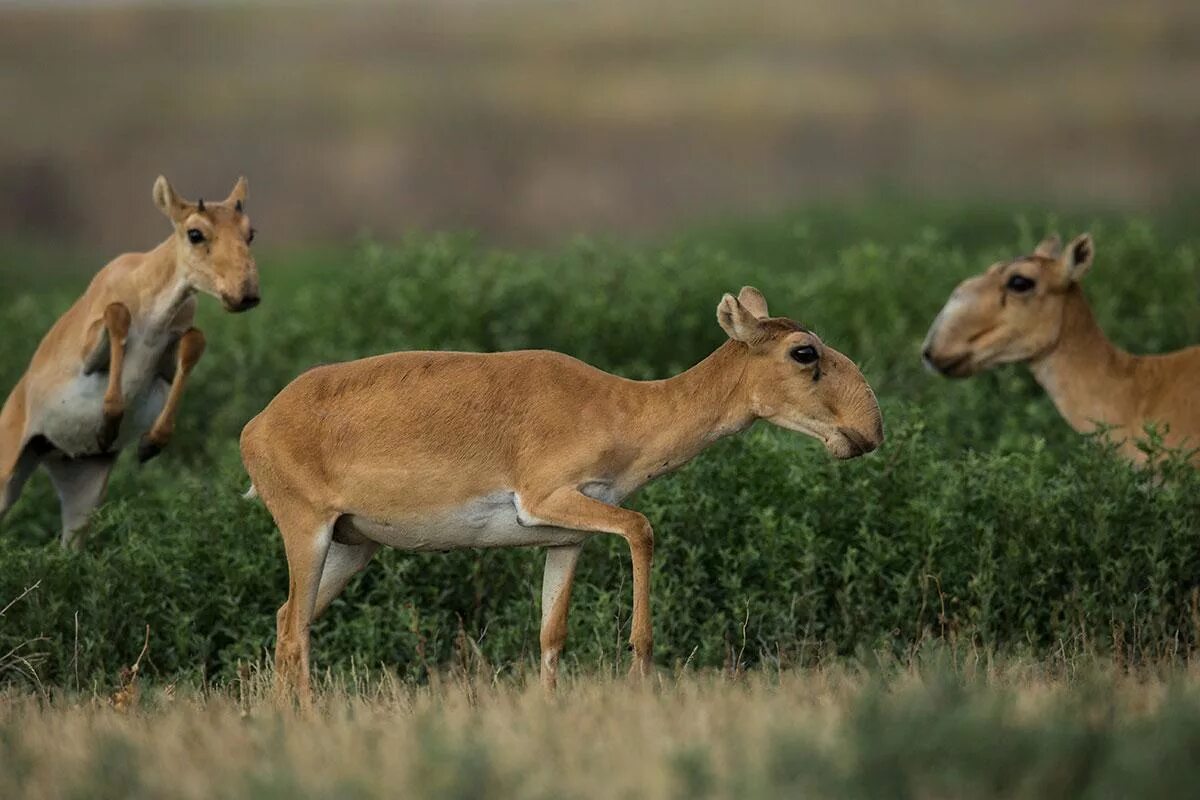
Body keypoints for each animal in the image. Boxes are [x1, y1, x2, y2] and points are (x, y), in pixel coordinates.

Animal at [1, 175, 259, 551]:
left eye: (250, 232)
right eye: (195, 233)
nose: (246, 293)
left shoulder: (173, 347)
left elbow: (194, 342)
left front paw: (151, 442)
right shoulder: (89, 349)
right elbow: (117, 314)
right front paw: (108, 423)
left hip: (83, 490)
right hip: (8, 472)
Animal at [243, 287, 883, 705]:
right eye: (804, 351)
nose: (869, 431)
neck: (620, 407)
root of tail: (256, 426)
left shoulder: (567, 538)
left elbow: (551, 635)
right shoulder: (549, 498)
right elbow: (643, 528)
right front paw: (640, 674)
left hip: (353, 545)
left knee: (284, 619)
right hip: (308, 533)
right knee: (296, 630)